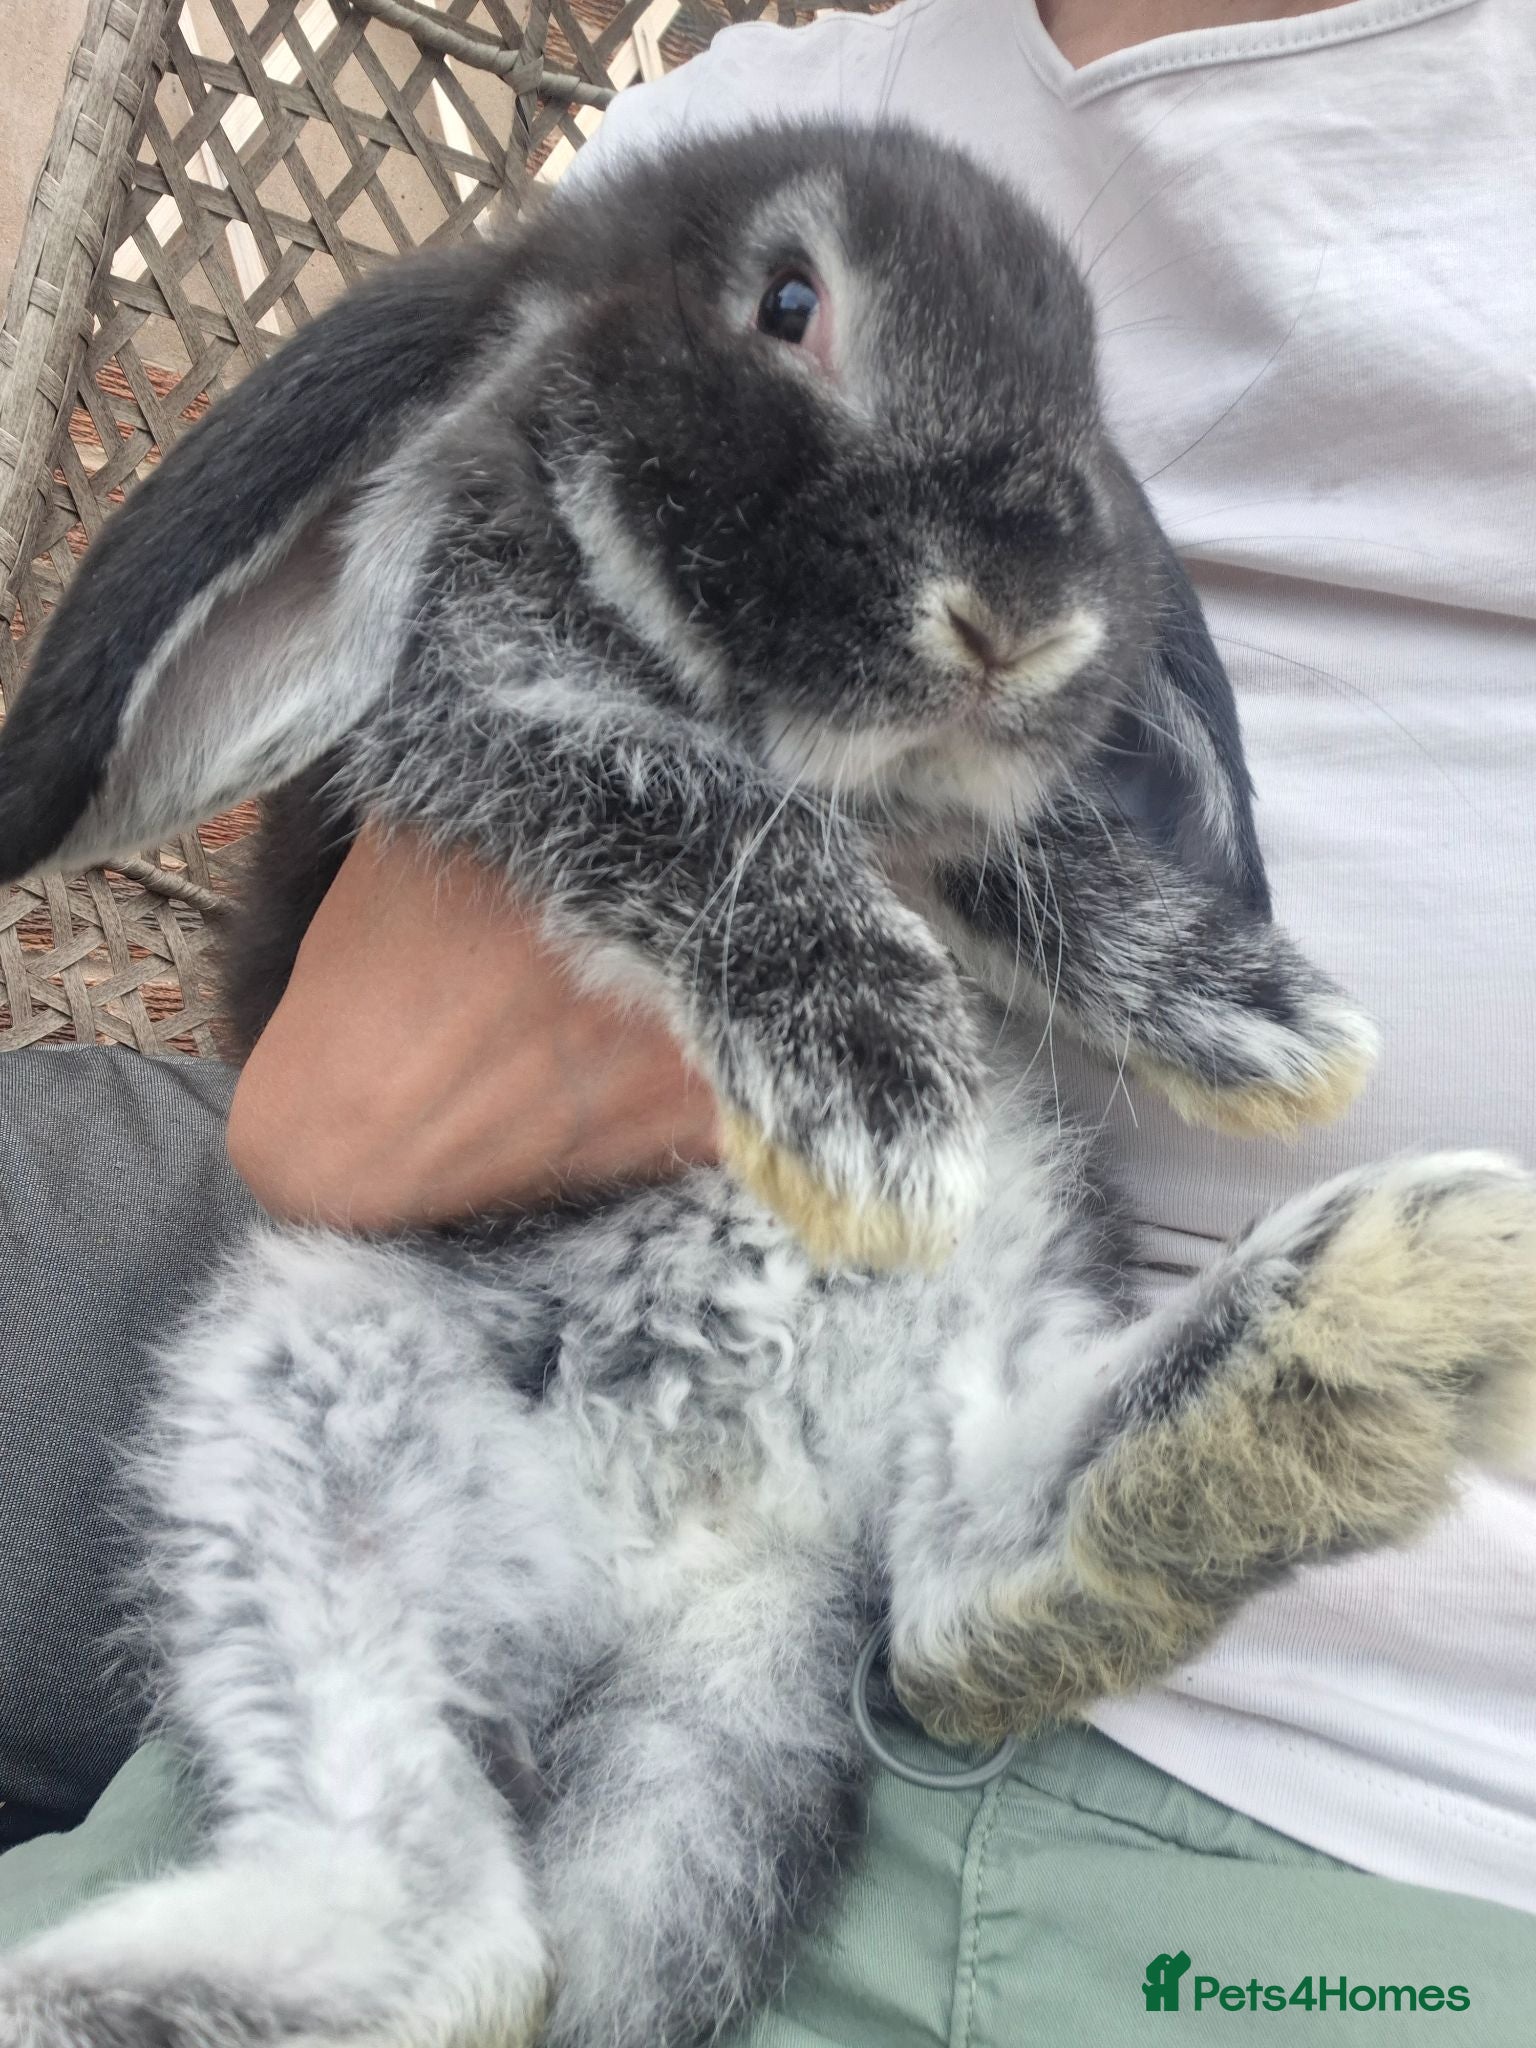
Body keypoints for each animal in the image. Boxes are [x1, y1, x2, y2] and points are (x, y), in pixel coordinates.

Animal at [2, 120, 1535, 2048]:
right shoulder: (497, 705)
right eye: (791, 306)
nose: (1021, 618)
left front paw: (1260, 1018)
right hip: (301, 1398)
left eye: (1090, 385)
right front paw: (881, 1094)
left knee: (947, 1604)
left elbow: (1036, 858)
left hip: (975, 1305)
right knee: (455, 1918)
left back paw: (1382, 1301)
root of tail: (720, 1556)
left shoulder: (957, 820)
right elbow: (697, 805)